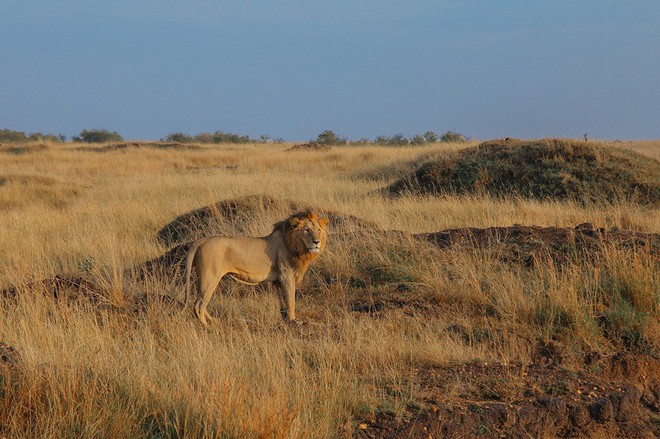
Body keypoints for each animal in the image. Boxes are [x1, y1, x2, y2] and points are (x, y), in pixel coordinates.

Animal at [184, 213, 328, 326]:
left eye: (319, 230)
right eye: (307, 230)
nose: (316, 242)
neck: (298, 247)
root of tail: (202, 240)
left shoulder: (278, 280)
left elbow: (283, 302)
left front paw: (285, 319)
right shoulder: (286, 276)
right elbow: (291, 300)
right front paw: (294, 322)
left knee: (200, 305)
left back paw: (214, 321)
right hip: (209, 279)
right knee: (198, 306)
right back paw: (208, 327)